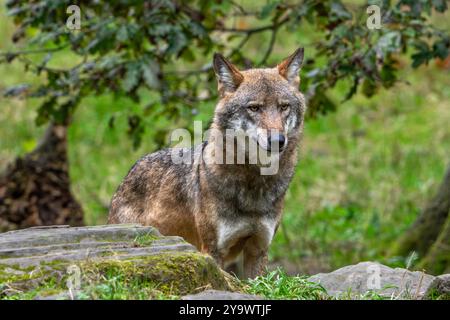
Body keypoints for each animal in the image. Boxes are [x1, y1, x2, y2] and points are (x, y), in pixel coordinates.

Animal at [108, 47, 306, 278]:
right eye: (254, 108)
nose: (277, 140)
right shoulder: (212, 250)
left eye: (284, 107)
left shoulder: (258, 249)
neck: (254, 186)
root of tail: (128, 174)